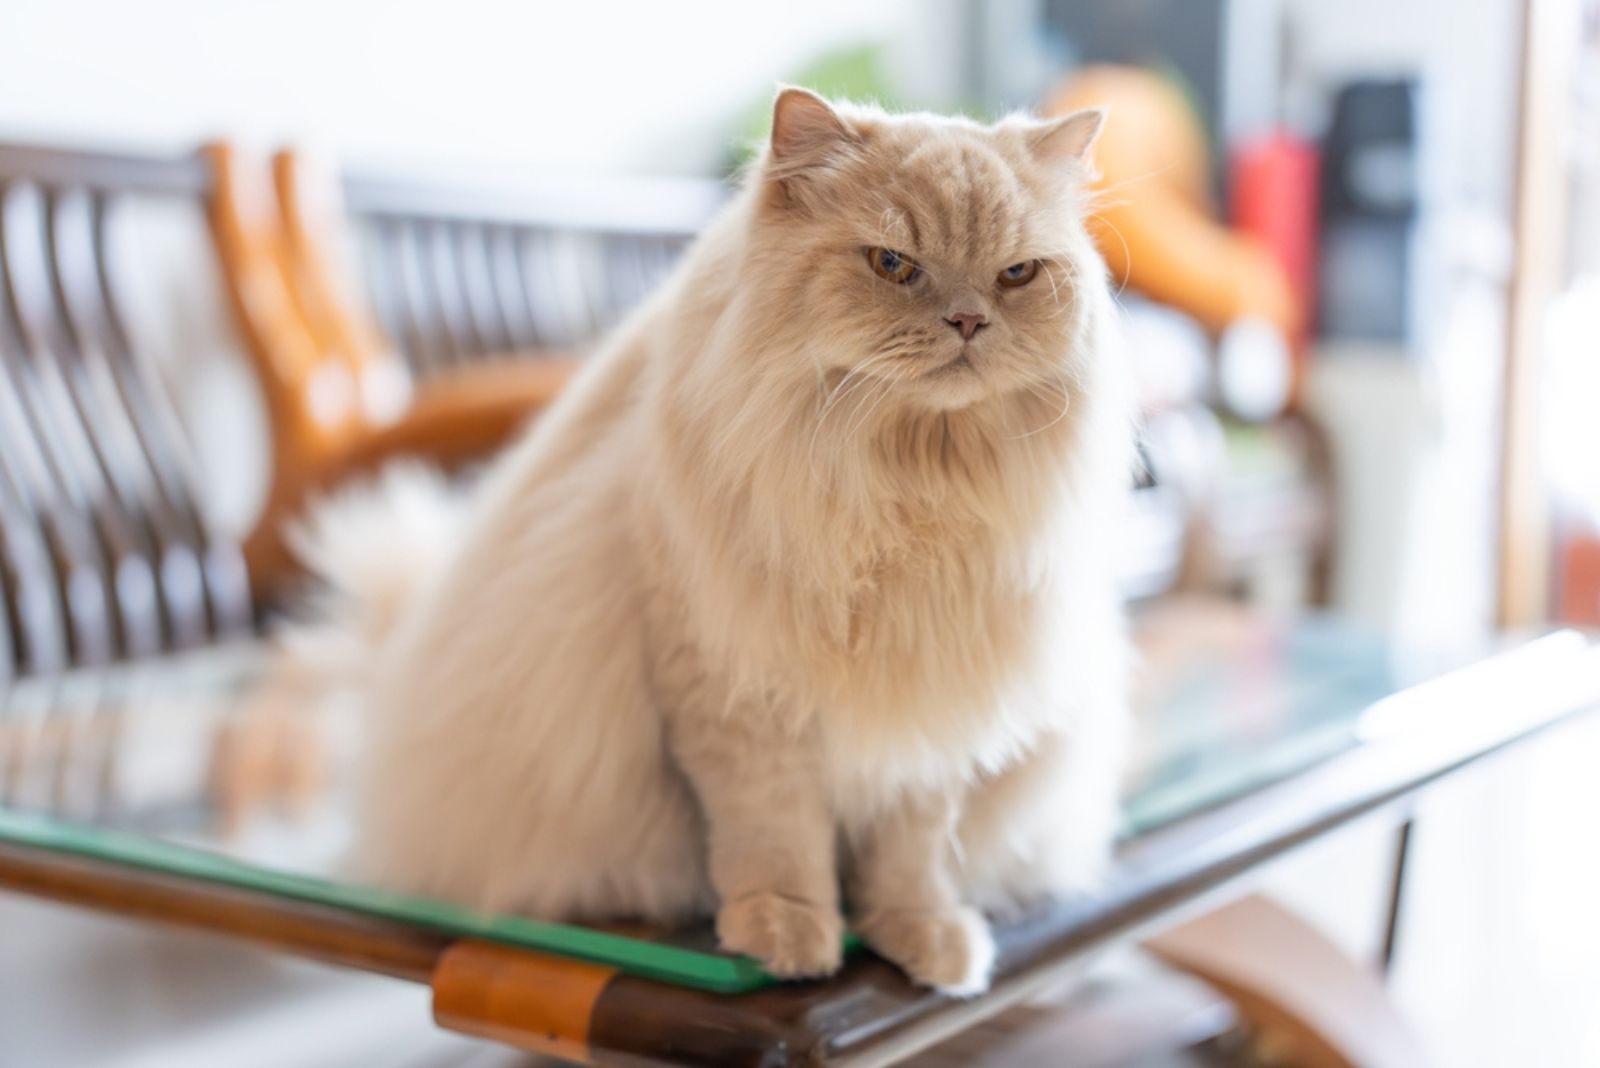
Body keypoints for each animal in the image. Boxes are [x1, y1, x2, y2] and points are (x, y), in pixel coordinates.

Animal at [291, 87, 1139, 997]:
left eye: (1017, 274)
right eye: (892, 264)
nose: (969, 320)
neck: (905, 490)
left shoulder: (933, 697)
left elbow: (911, 856)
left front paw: (924, 936)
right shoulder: (734, 692)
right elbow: (775, 835)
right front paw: (788, 934)